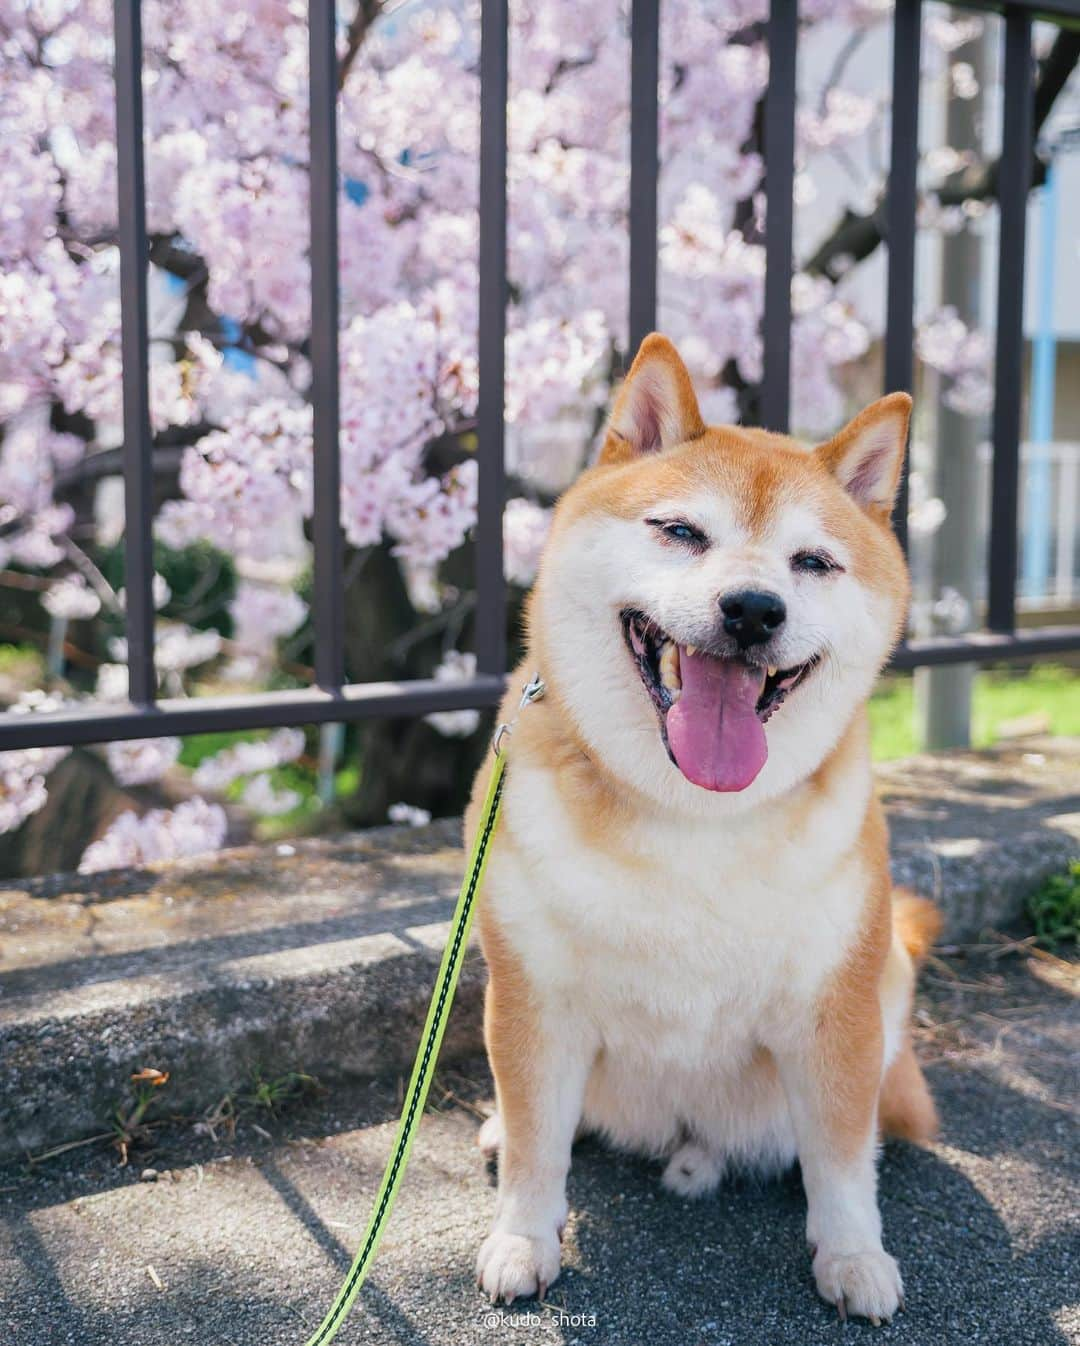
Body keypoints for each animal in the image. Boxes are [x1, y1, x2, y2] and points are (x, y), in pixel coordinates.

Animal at [465, 331, 937, 1319]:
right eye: (681, 532)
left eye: (813, 563)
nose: (753, 609)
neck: (691, 810)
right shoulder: (533, 994)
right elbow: (536, 1141)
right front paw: (522, 1240)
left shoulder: (835, 1007)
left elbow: (842, 1159)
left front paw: (852, 1256)